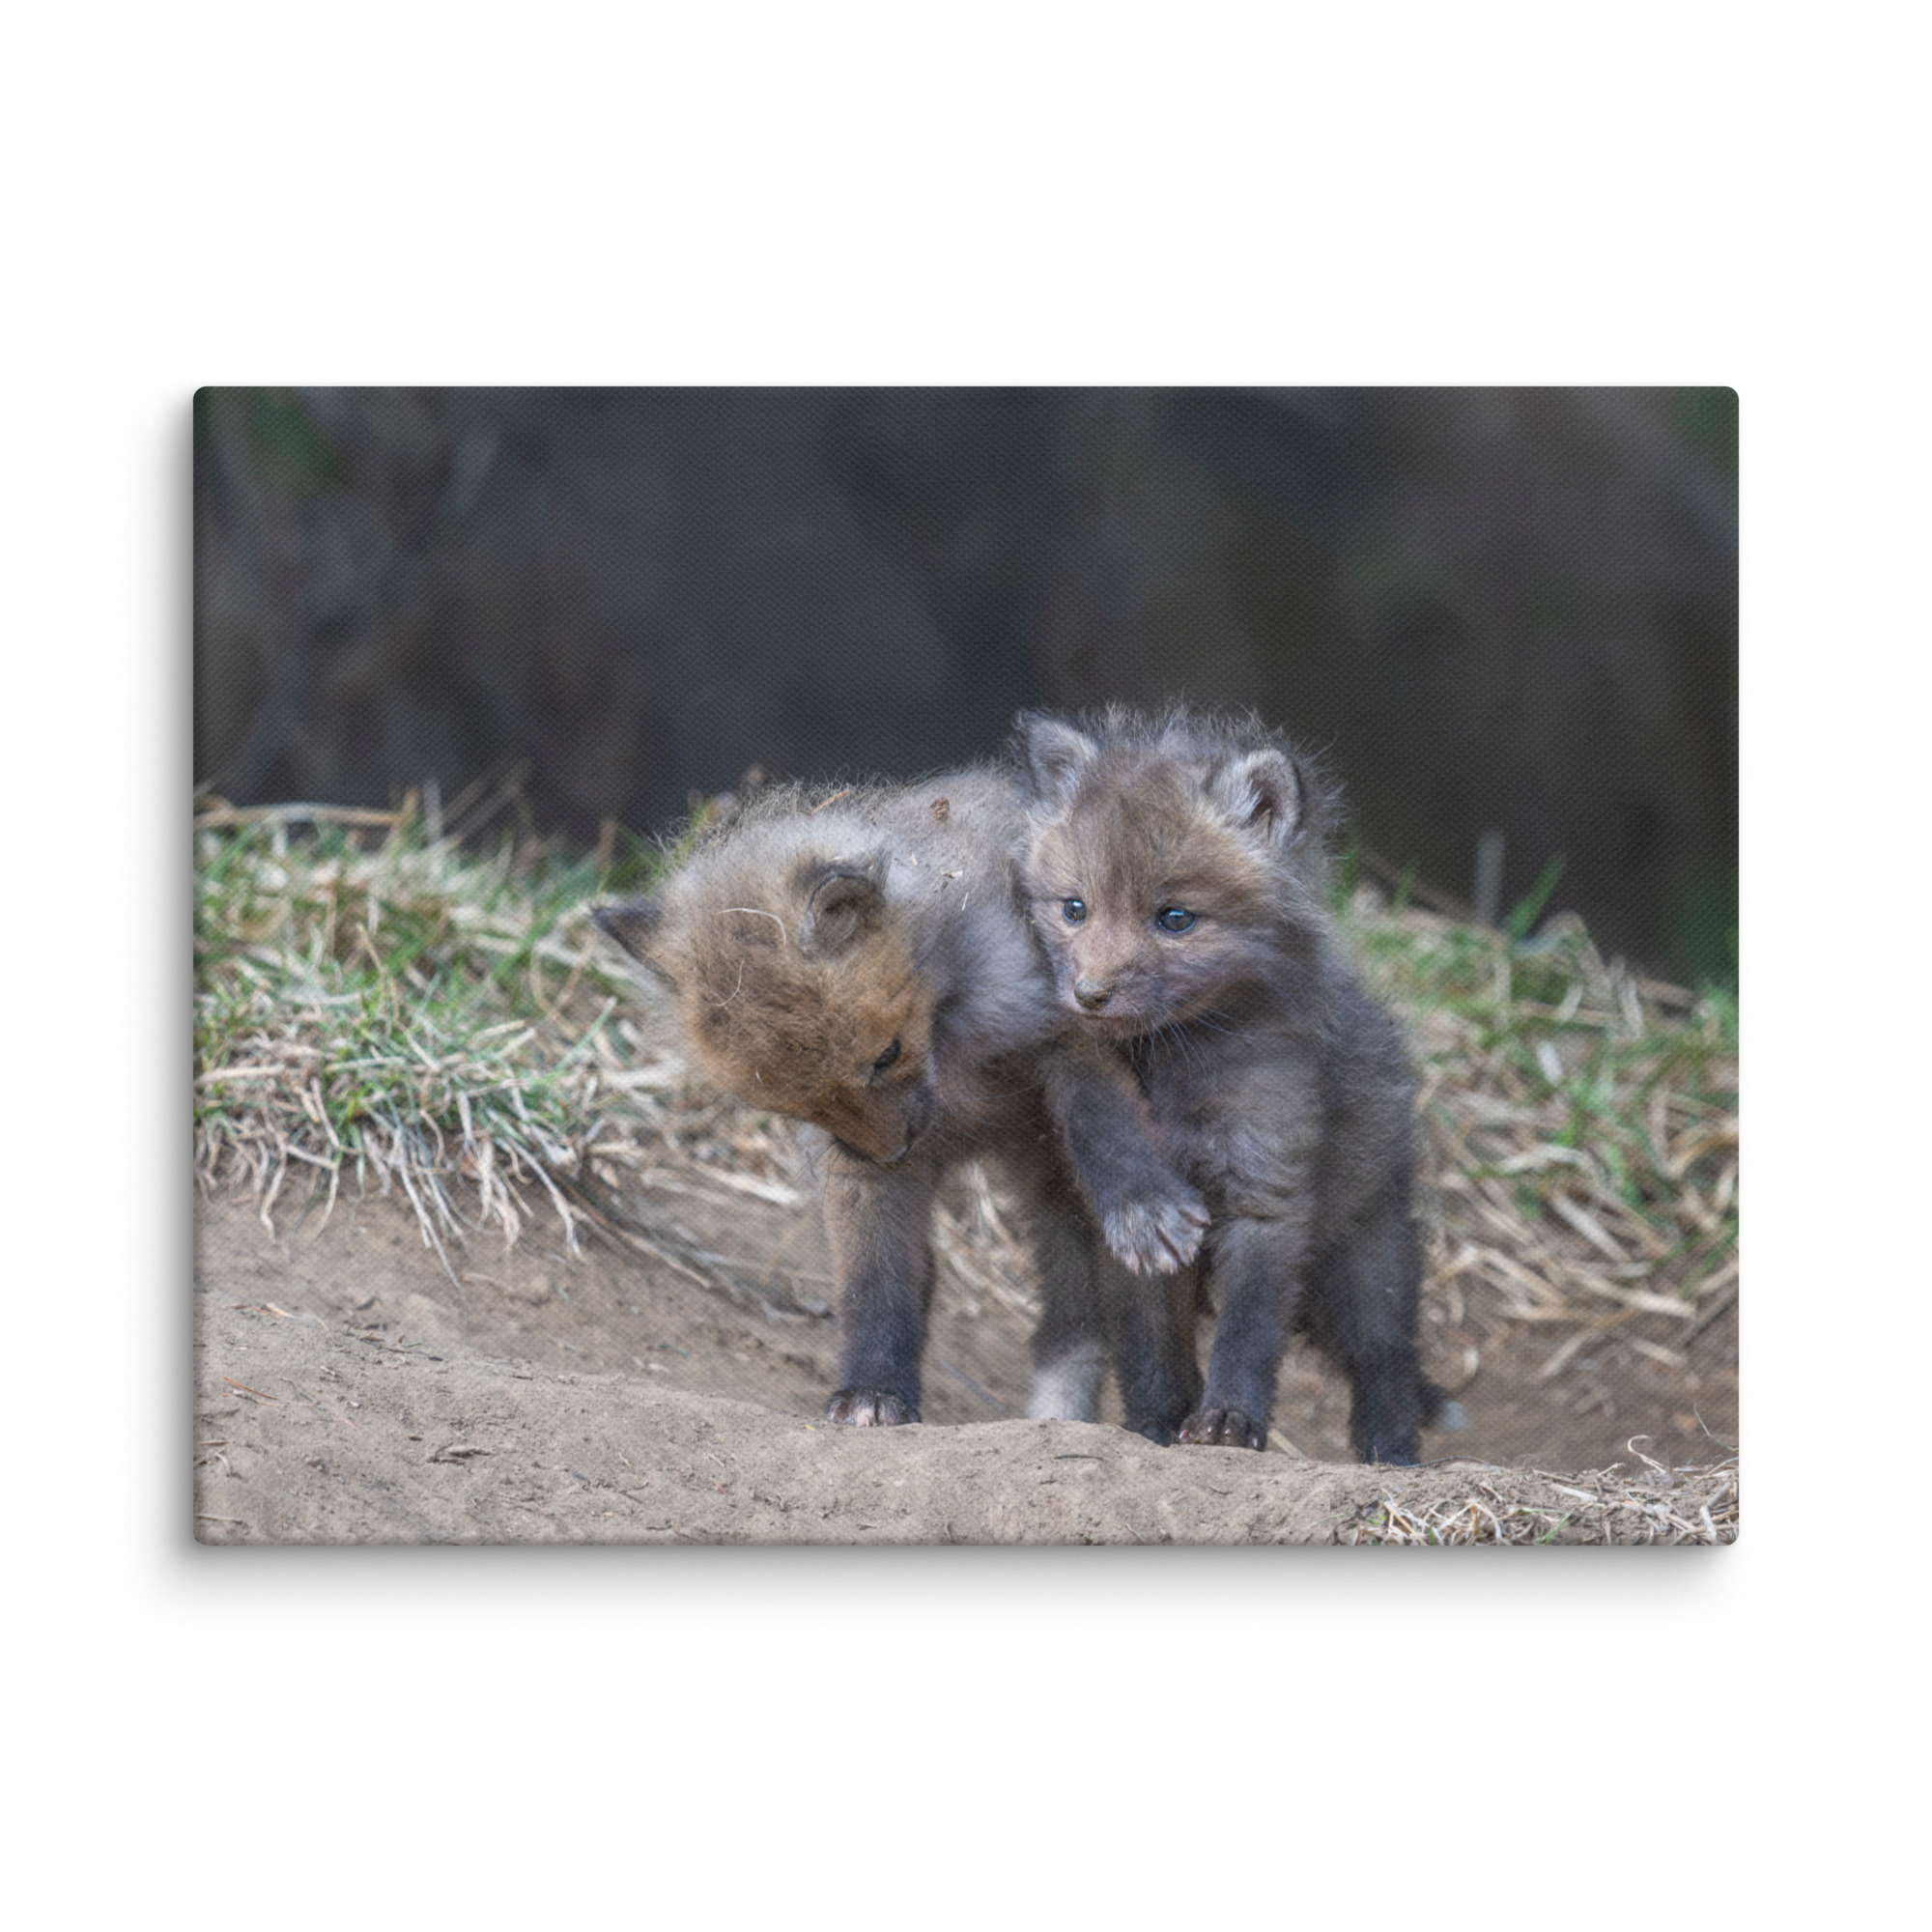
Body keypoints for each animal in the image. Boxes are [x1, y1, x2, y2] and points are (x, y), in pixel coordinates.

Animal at [591, 768, 1209, 1434]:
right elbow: (874, 1283)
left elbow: (1105, 1125)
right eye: (797, 1105)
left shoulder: (1068, 1027)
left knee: (1135, 1323)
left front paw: (1142, 1204)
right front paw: (873, 1389)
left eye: (886, 1055)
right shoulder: (853, 1168)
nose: (893, 1152)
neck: (952, 1047)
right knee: (1065, 1321)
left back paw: (1161, 1421)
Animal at [1014, 707, 1444, 1464]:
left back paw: (1391, 1458)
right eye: (1074, 909)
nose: (1089, 995)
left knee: (1386, 1362)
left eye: (1175, 919)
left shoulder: (1266, 1192)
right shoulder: (1138, 1233)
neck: (1174, 1069)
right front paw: (1156, 1426)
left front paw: (1228, 1423)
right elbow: (1151, 1347)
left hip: (1368, 1259)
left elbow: (1248, 1332)